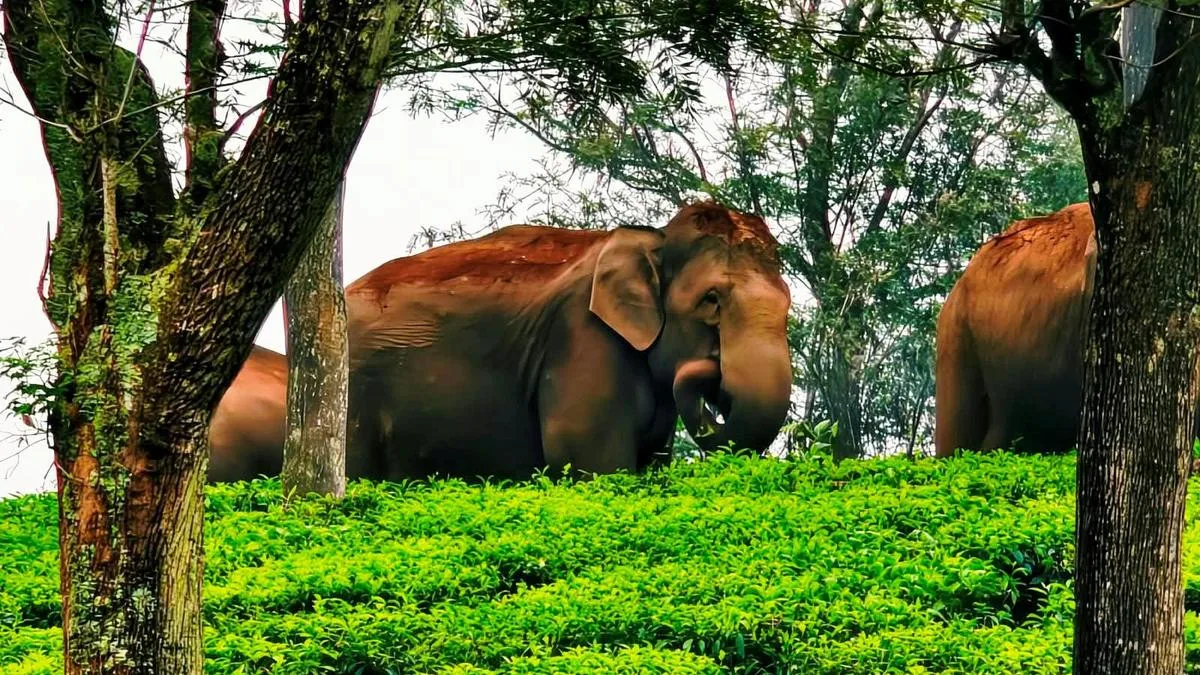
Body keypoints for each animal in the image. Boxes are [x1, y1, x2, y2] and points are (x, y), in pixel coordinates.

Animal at [207, 201, 793, 482]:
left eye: (790, 305)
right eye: (711, 301)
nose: (711, 372)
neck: (649, 237)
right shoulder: (582, 342)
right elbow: (592, 463)